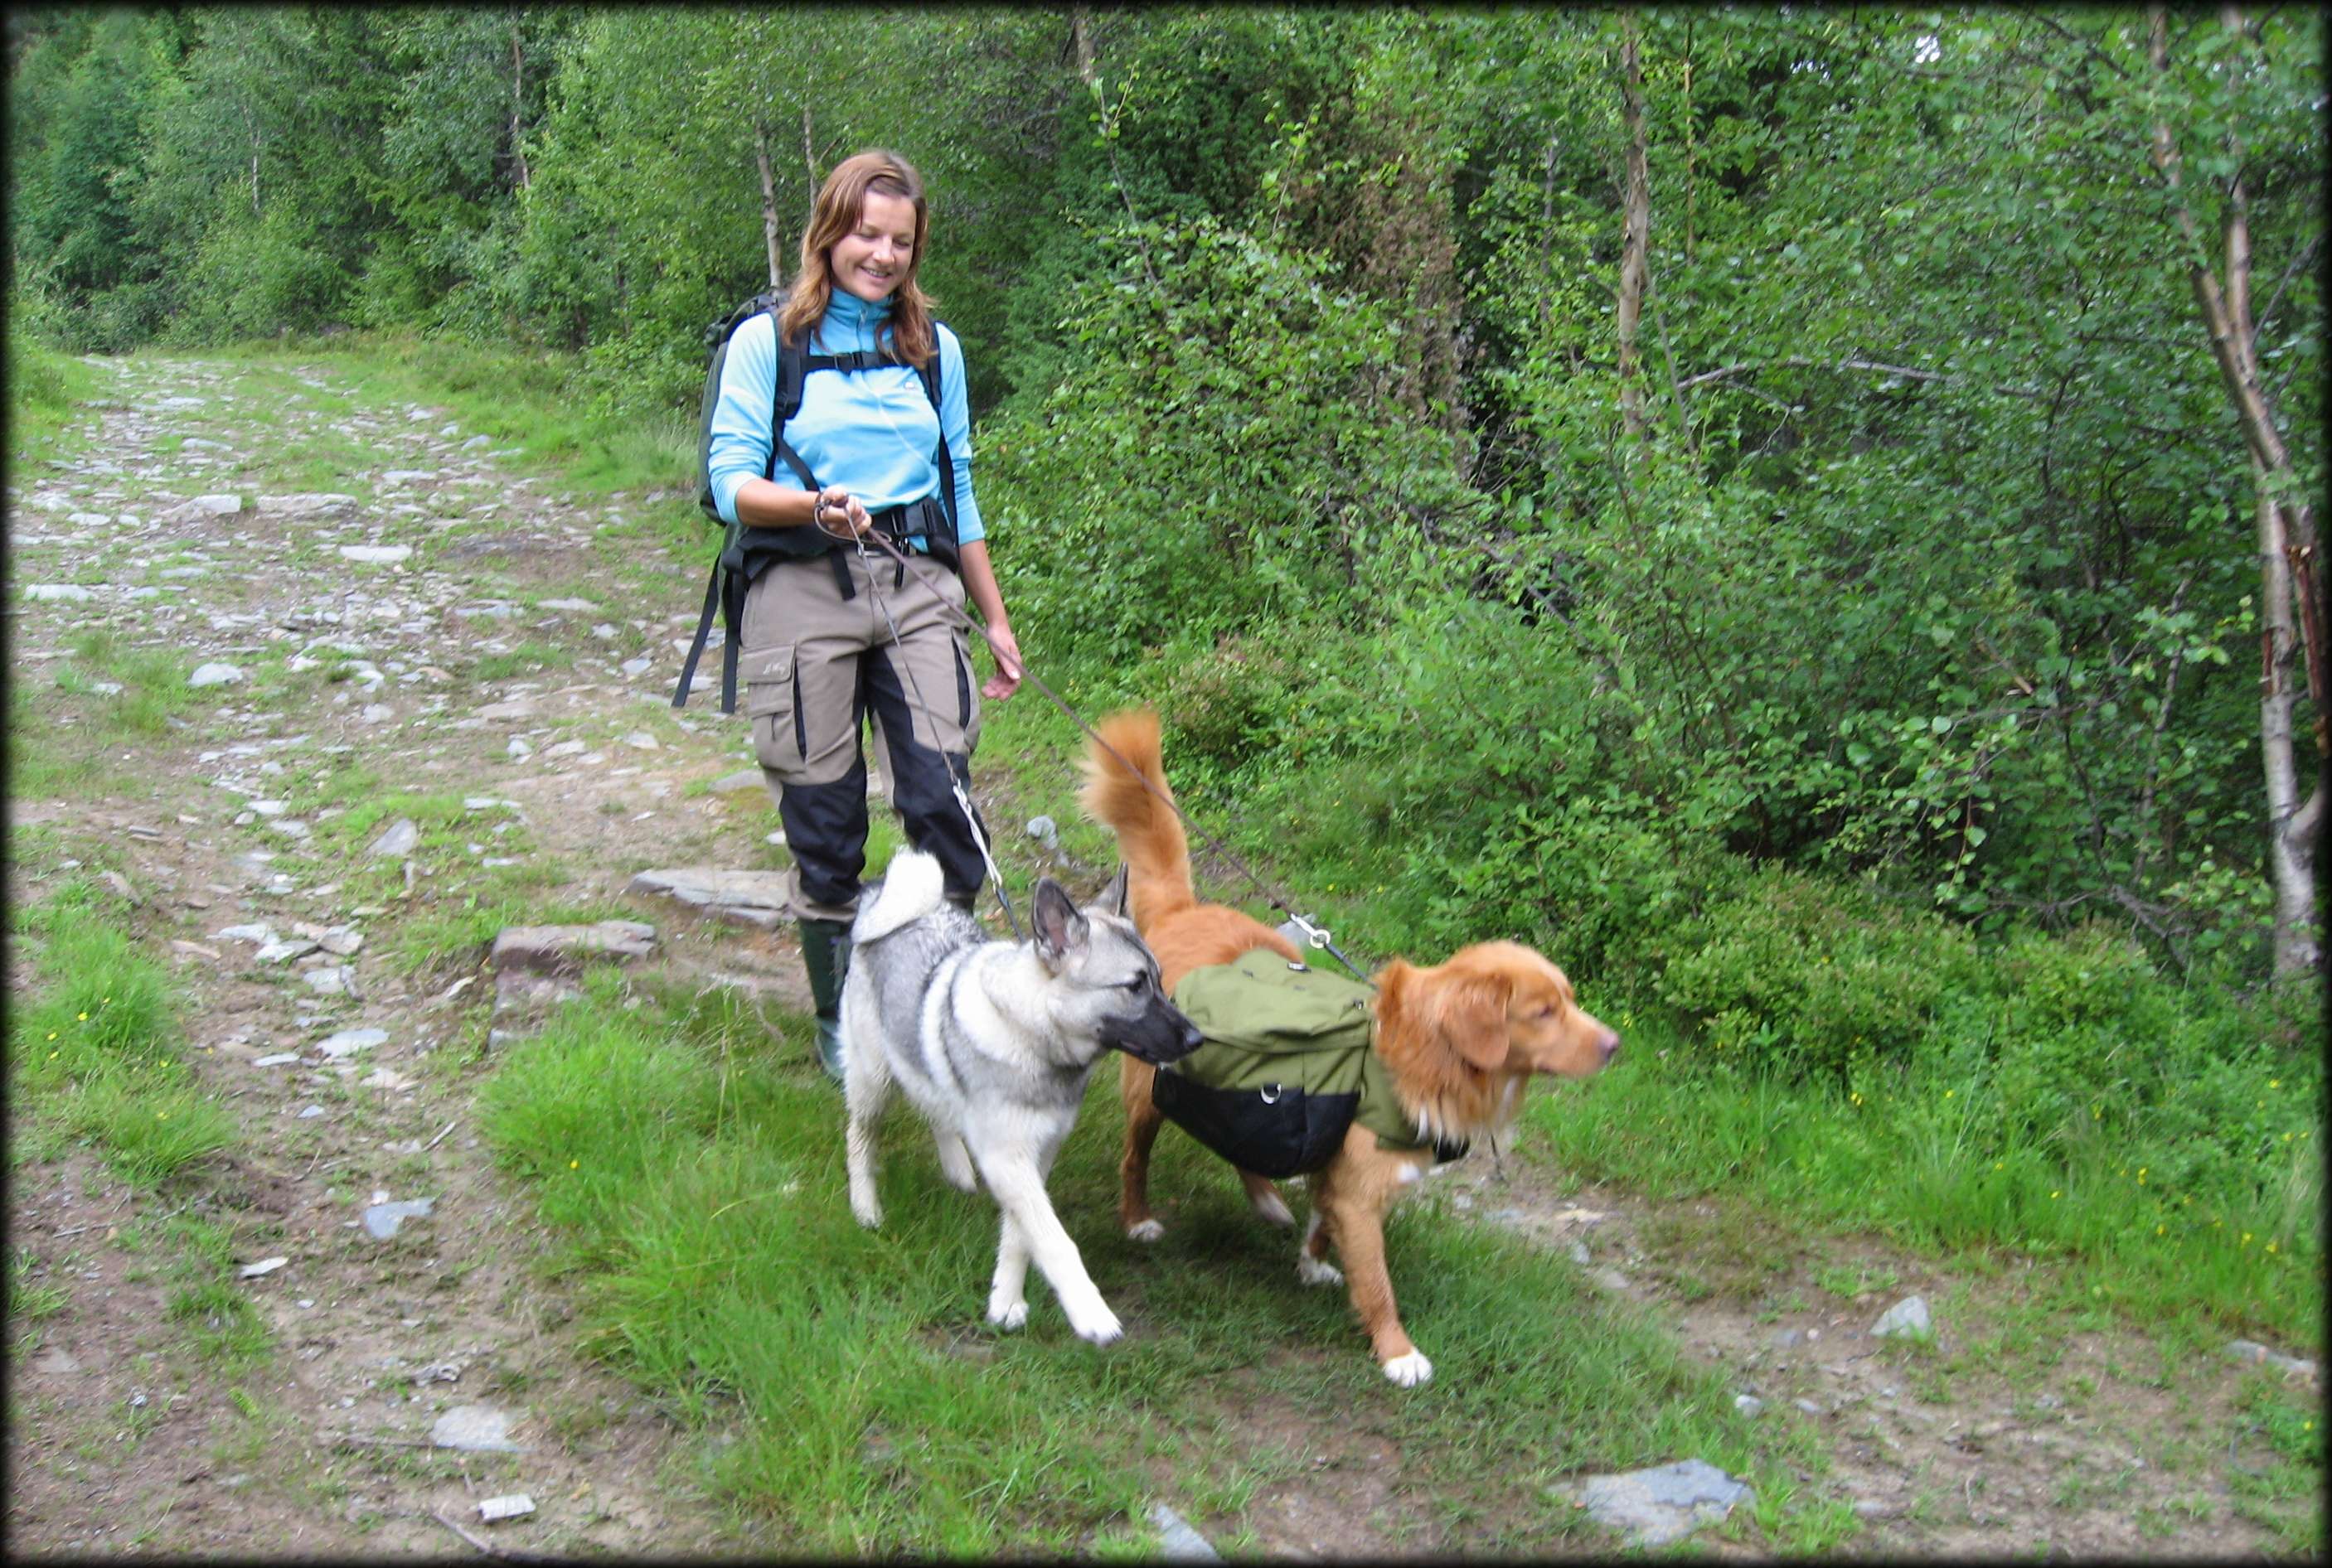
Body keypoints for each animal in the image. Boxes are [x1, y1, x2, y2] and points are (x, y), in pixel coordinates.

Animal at [844, 848, 1203, 1342]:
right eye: (1134, 986)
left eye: (1160, 980)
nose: (1197, 1038)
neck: (1030, 1030)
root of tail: (888, 902)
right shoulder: (1009, 1160)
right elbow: (1053, 1240)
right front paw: (1090, 1314)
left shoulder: (1036, 1155)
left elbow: (1020, 1236)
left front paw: (1005, 1302)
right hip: (873, 1081)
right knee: (860, 1138)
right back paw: (865, 1209)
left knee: (937, 1107)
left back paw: (956, 1169)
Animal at [1077, 708, 1613, 1379]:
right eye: (1543, 1012)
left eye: (1570, 999)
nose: (1615, 1045)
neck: (1422, 1056)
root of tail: (1182, 910)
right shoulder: (1362, 1195)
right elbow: (1378, 1283)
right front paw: (1398, 1352)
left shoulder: (1339, 1170)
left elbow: (1324, 1223)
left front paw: (1311, 1263)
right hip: (1151, 1098)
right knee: (1134, 1160)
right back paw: (1138, 1219)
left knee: (1244, 1147)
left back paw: (1265, 1201)